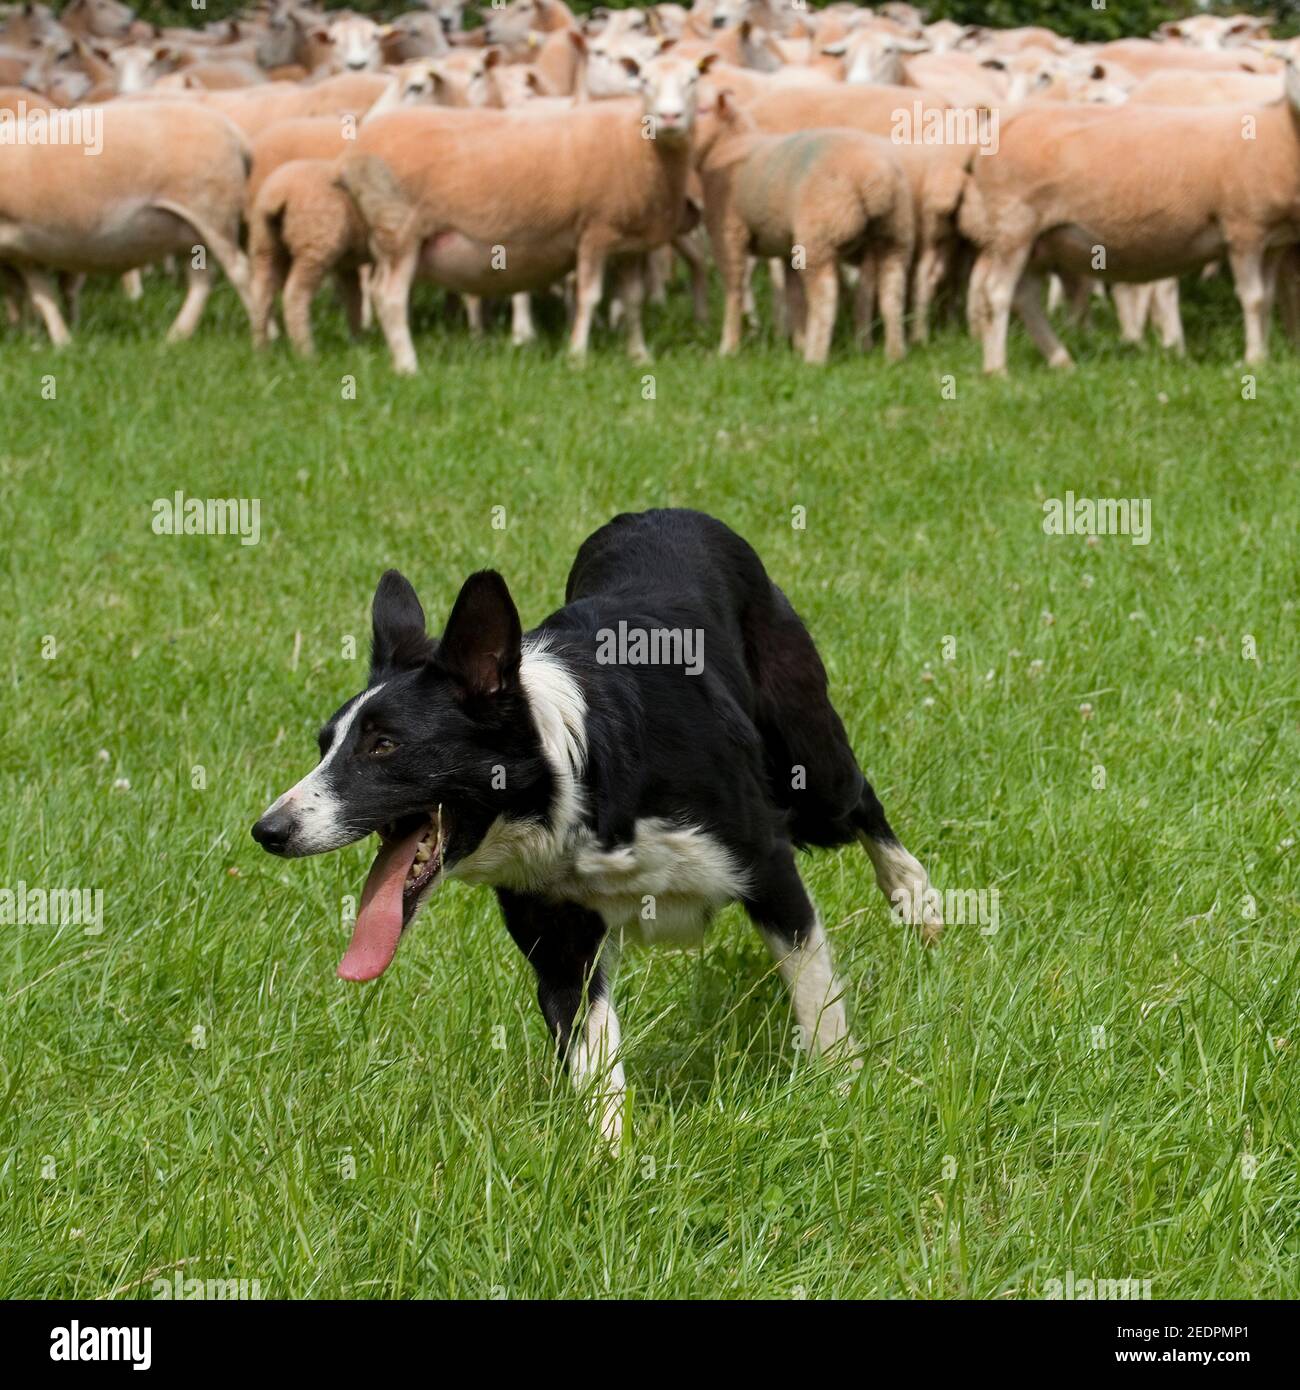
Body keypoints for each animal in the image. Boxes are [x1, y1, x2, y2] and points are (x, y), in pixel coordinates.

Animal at [254, 511, 939, 1139]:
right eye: (324, 746)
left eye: (383, 746)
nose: (267, 831)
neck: (574, 793)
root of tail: (668, 512)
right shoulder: (559, 939)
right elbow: (595, 1061)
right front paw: (610, 1168)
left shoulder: (767, 865)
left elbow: (816, 998)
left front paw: (842, 1094)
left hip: (809, 766)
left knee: (860, 799)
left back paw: (918, 899)